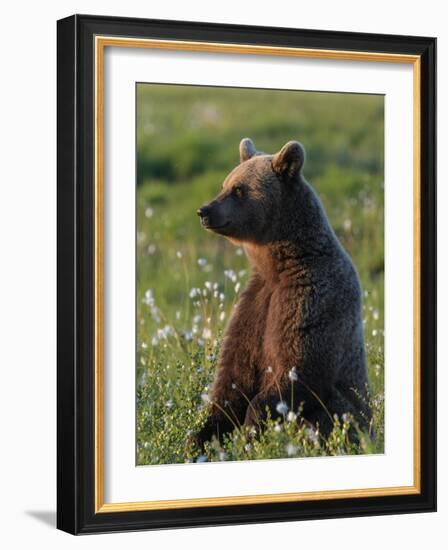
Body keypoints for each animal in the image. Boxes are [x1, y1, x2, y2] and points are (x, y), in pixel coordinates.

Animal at [194, 138, 370, 448]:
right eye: (224, 184)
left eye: (238, 190)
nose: (205, 211)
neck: (279, 266)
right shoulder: (257, 303)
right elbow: (233, 376)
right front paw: (200, 436)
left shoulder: (311, 297)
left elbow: (298, 369)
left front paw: (251, 432)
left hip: (348, 412)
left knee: (329, 414)